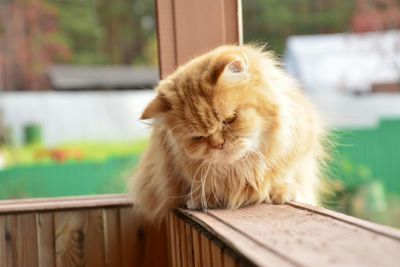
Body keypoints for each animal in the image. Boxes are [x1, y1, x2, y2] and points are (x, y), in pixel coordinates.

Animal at [130, 44, 326, 220]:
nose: (218, 144)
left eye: (229, 119)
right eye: (199, 137)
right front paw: (201, 199)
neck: (241, 170)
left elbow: (284, 176)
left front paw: (282, 191)